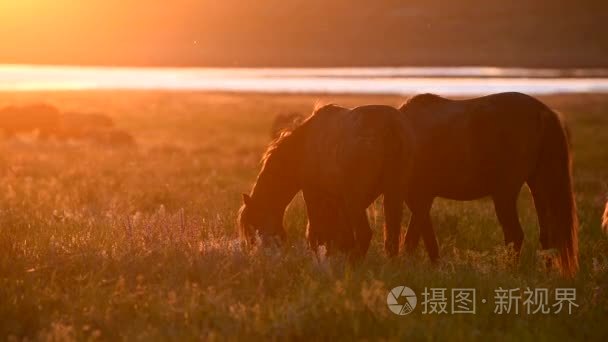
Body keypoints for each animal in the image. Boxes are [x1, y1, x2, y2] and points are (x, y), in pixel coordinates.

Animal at [238, 103, 414, 256]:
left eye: (252, 224)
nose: (256, 252)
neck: (301, 147)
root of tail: (390, 126)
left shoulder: (313, 192)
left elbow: (317, 229)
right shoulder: (337, 200)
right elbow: (339, 233)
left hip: (355, 200)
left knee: (365, 234)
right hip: (393, 193)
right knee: (391, 237)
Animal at [394, 92, 580, 276]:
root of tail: (543, 112)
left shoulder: (420, 196)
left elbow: (413, 237)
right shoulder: (422, 199)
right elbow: (426, 236)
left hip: (505, 193)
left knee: (515, 234)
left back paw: (508, 274)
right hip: (539, 186)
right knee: (547, 235)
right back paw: (545, 275)